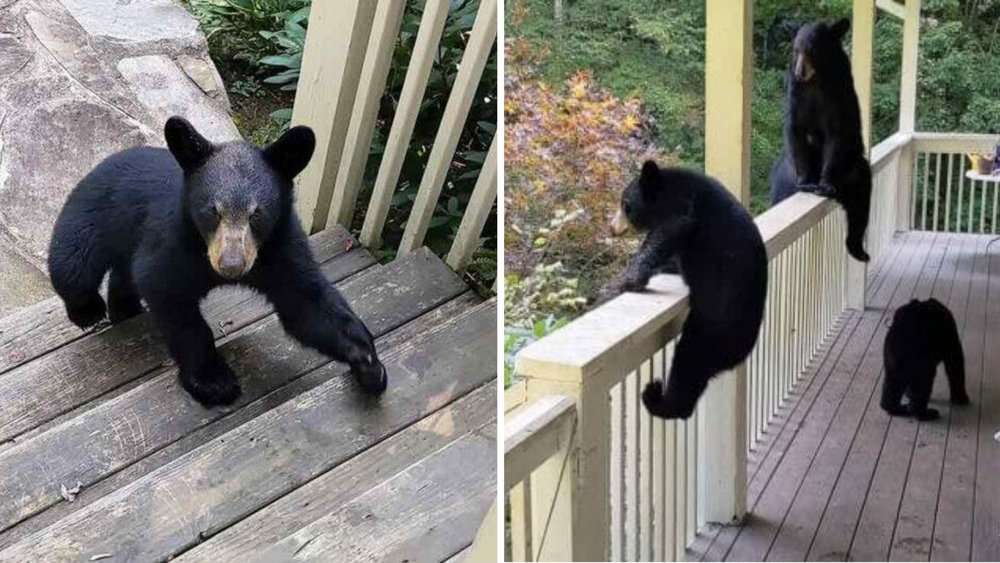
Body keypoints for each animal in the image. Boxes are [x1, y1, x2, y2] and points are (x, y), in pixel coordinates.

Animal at [48, 116, 387, 407]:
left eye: (257, 213)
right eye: (213, 210)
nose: (231, 265)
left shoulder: (279, 246)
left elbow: (306, 303)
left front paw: (367, 362)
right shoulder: (173, 240)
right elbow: (167, 293)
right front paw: (214, 382)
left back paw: (125, 309)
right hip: (92, 215)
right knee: (74, 265)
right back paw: (88, 311)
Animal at [609, 161, 768, 419]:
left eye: (626, 205)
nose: (611, 228)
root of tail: (741, 353)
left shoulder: (683, 208)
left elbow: (667, 232)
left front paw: (628, 279)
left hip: (710, 329)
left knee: (687, 364)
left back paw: (657, 398)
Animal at [770, 18, 872, 263]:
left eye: (812, 50)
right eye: (796, 51)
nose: (800, 72)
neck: (815, 81)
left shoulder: (838, 96)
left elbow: (836, 135)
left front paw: (825, 183)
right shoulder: (796, 95)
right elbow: (795, 129)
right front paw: (807, 181)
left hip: (853, 170)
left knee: (861, 203)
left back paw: (858, 249)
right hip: (784, 177)